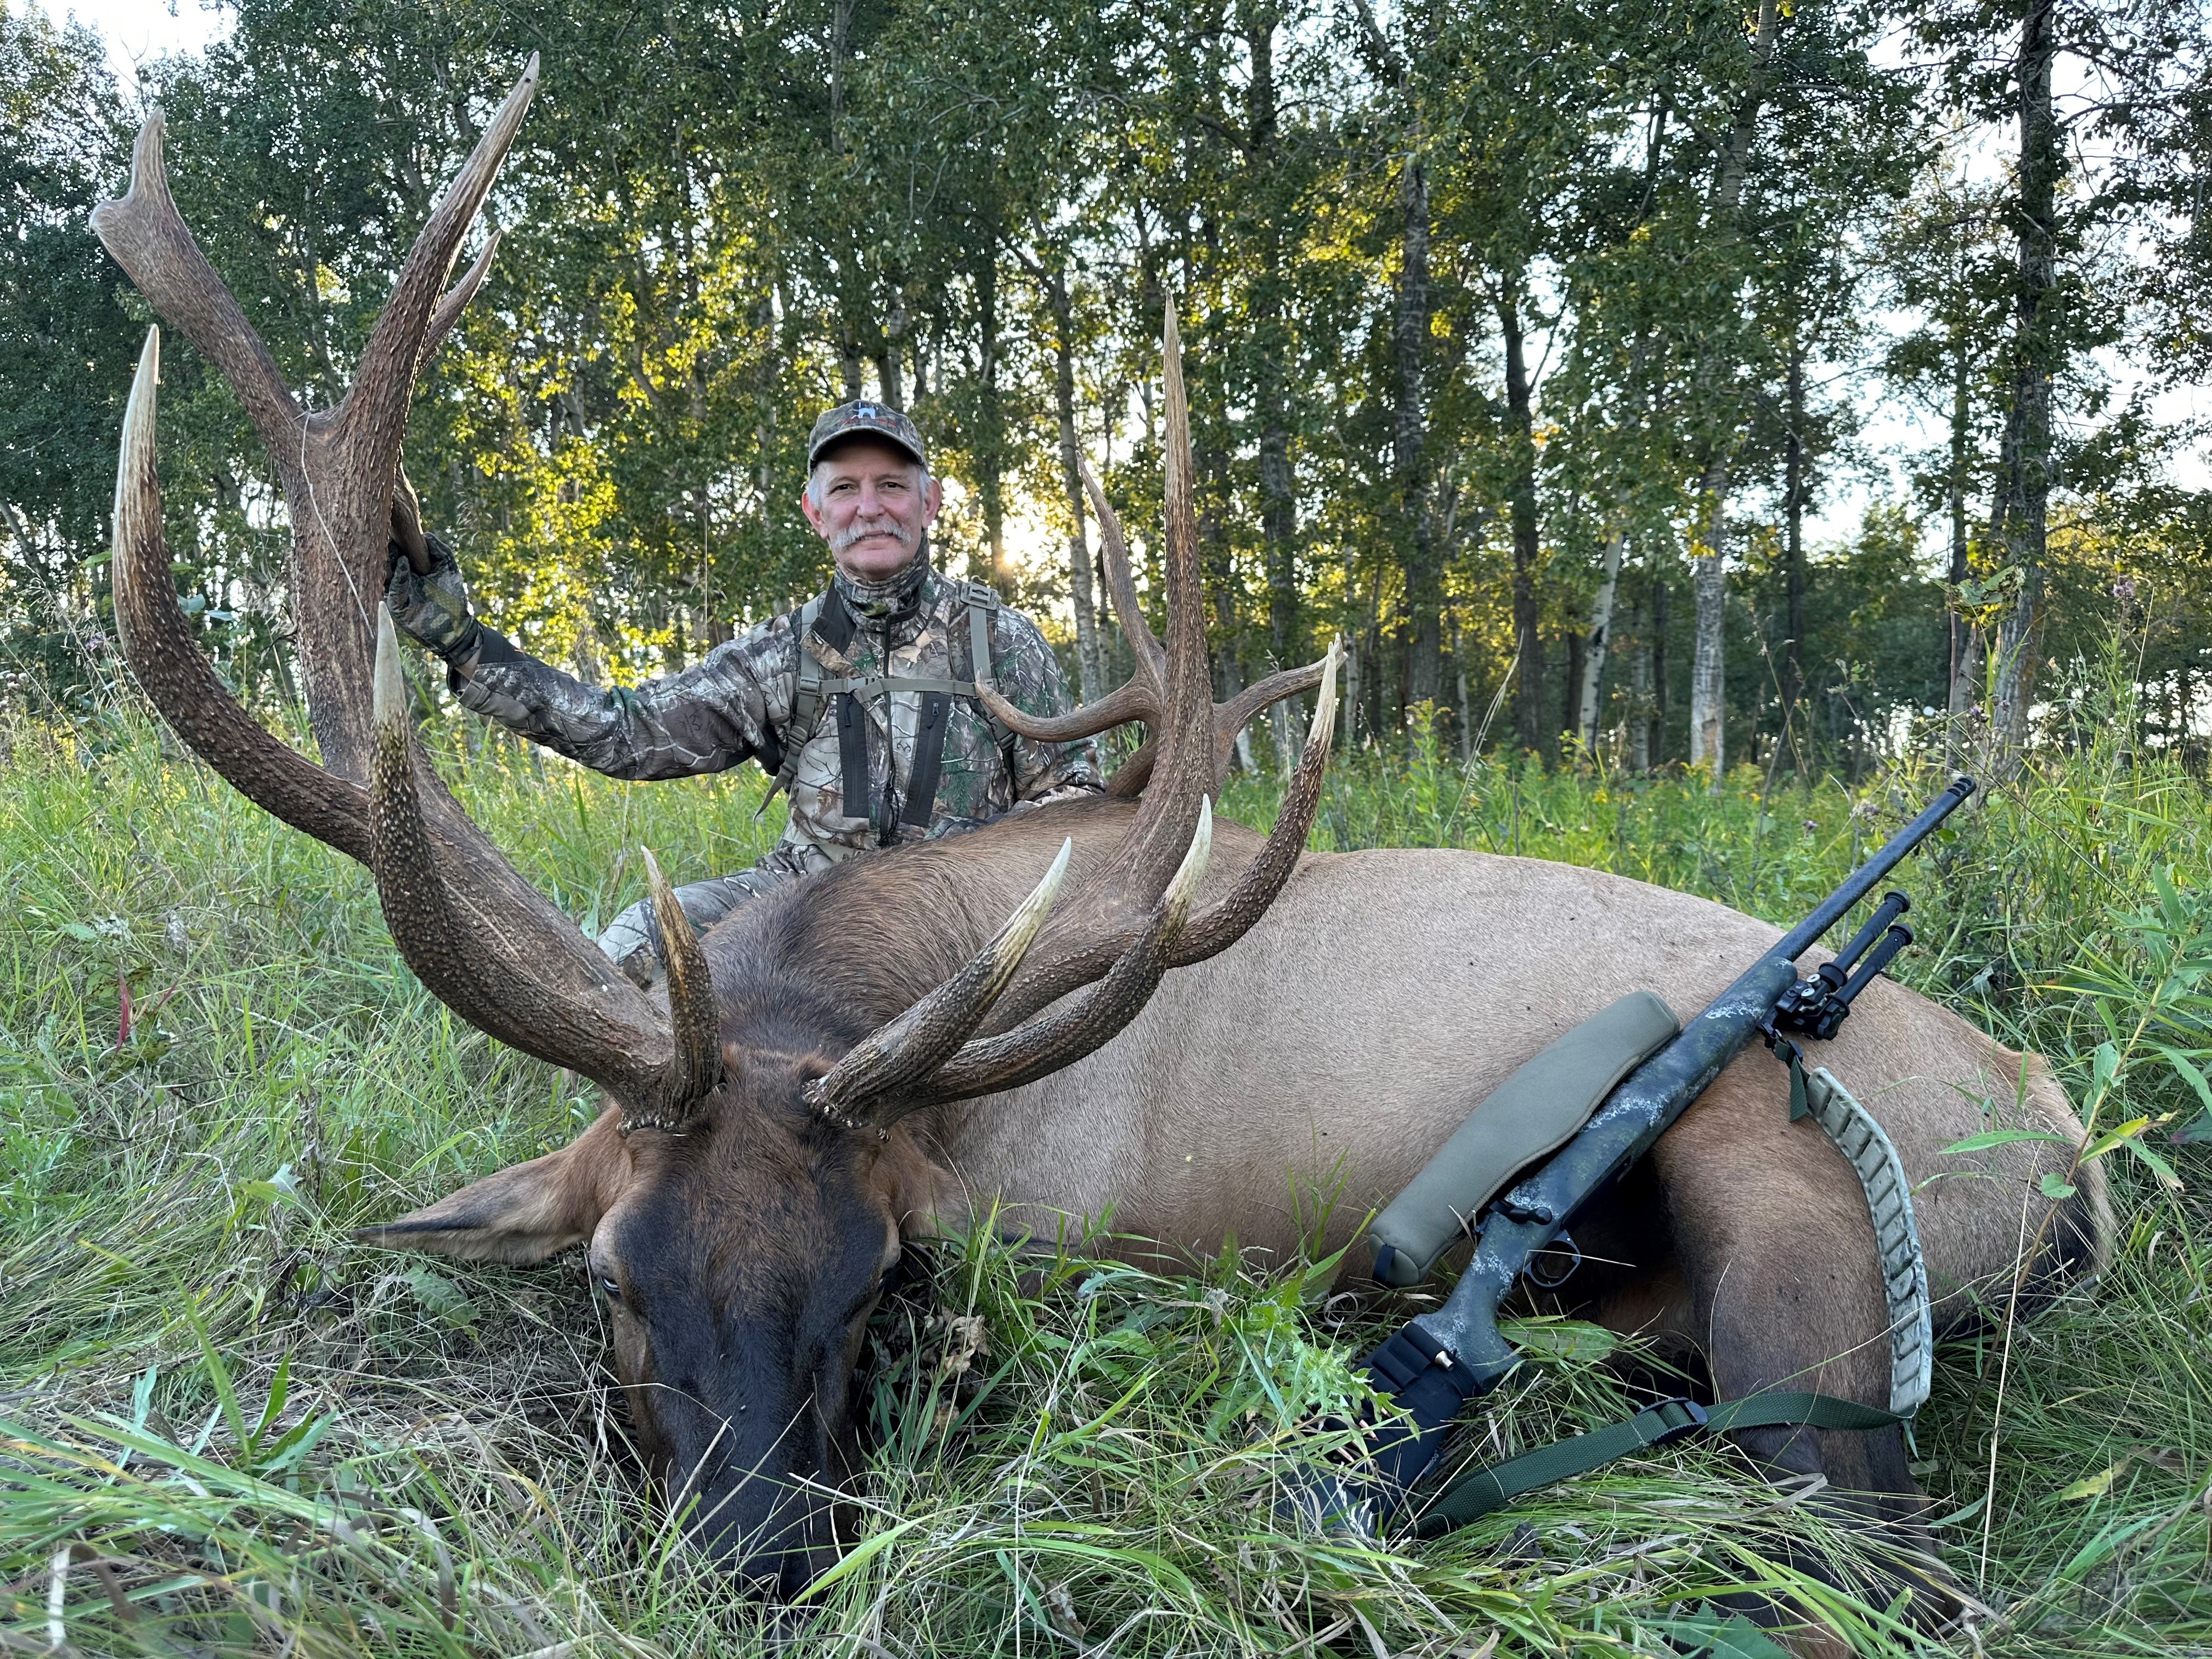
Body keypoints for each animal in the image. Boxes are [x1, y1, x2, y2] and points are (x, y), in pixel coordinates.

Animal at [95, 57, 2106, 1628]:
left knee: (1876, 1565)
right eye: (606, 1280)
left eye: (881, 1279)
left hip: (1802, 1224)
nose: (756, 1568)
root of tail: (2075, 1148)